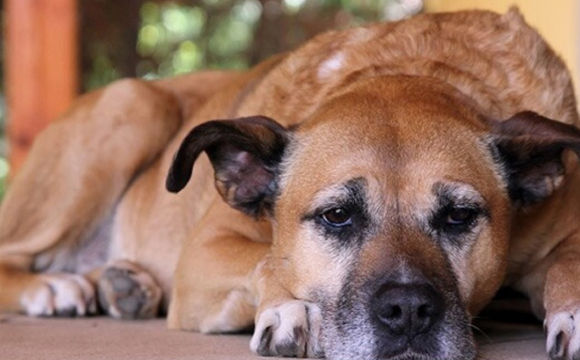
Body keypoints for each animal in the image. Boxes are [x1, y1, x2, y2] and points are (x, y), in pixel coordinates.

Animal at [1, 7, 580, 360]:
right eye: (337, 216)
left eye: (459, 216)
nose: (409, 312)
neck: (417, 67)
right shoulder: (204, 252)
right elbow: (267, 259)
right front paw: (288, 307)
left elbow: (568, 263)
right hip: (133, 106)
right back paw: (56, 287)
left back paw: (123, 285)